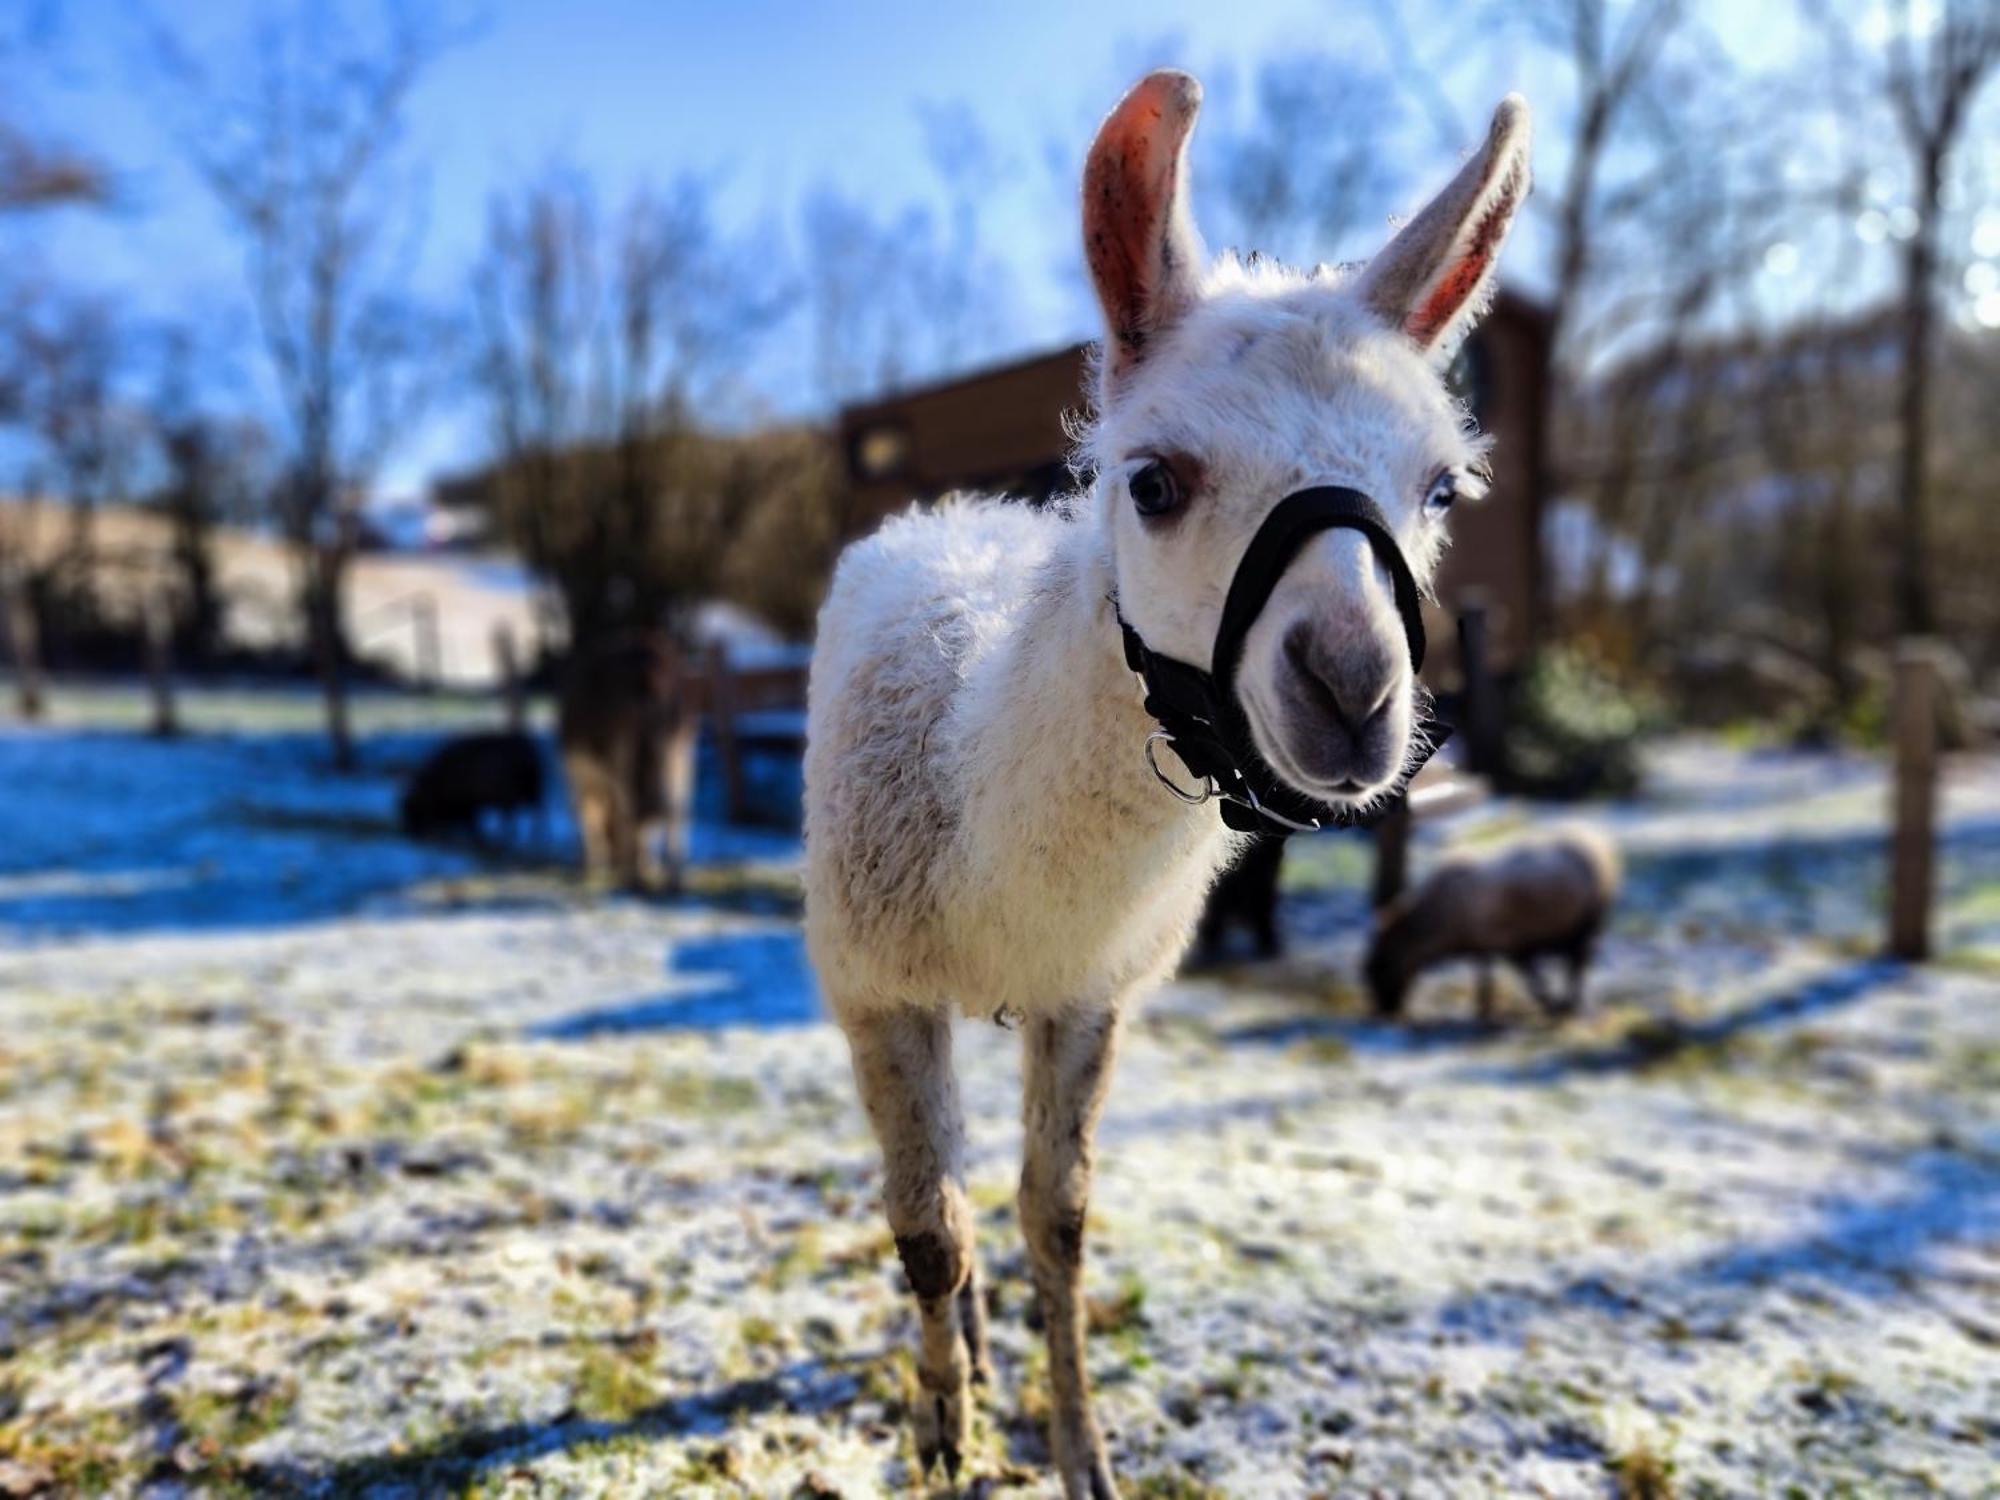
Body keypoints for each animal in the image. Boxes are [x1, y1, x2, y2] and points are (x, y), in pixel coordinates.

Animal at [398, 736, 544, 848]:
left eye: (414, 810)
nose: (410, 833)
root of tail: (529, 752)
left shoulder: (469, 807)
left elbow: (472, 824)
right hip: (529, 794)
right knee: (529, 815)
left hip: (526, 796)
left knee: (527, 816)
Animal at [804, 64, 1536, 1496]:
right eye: (1152, 481)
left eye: (1437, 488)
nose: (1351, 688)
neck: (1006, 881)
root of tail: (950, 518)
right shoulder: (876, 984)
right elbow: (927, 1232)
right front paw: (942, 1437)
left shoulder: (1088, 992)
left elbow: (1056, 1221)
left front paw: (1077, 1450)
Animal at [1360, 828, 1624, 1032]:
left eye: (1379, 964)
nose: (1383, 1013)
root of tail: (1603, 845)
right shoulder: (1485, 946)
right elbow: (1486, 980)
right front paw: (1484, 1011)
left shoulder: (1509, 944)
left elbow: (1531, 983)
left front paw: (1551, 1006)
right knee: (1575, 965)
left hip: (1588, 922)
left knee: (1579, 966)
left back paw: (1577, 1007)